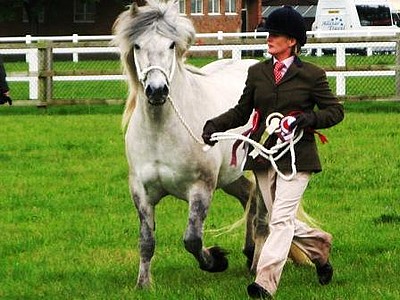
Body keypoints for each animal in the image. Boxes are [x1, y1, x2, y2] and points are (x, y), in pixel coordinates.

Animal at [112, 0, 306, 288]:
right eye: (137, 45)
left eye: (172, 45)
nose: (157, 91)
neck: (162, 132)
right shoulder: (141, 192)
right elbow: (146, 241)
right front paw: (144, 284)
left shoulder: (201, 188)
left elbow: (192, 239)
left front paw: (216, 260)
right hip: (230, 175)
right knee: (247, 195)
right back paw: (249, 252)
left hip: (260, 168)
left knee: (261, 215)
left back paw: (256, 264)